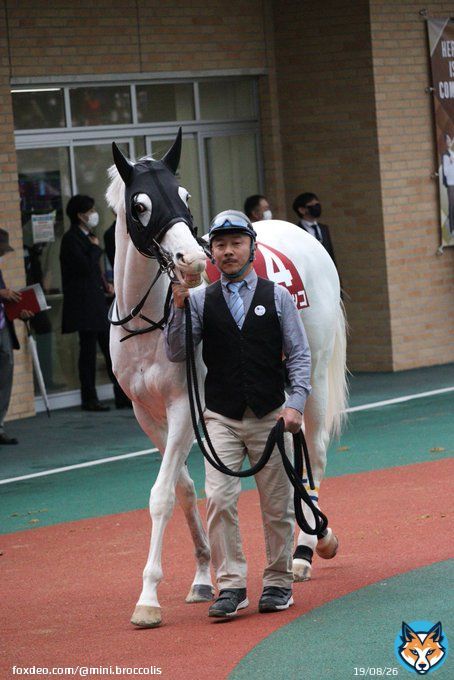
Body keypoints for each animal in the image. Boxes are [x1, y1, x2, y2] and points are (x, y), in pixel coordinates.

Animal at [106, 129, 348, 628]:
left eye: (183, 195)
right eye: (140, 205)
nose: (191, 260)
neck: (151, 320)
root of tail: (303, 234)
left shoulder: (184, 405)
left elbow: (160, 495)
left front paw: (148, 598)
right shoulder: (146, 413)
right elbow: (183, 489)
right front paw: (203, 577)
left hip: (312, 371)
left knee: (312, 450)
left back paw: (306, 549)